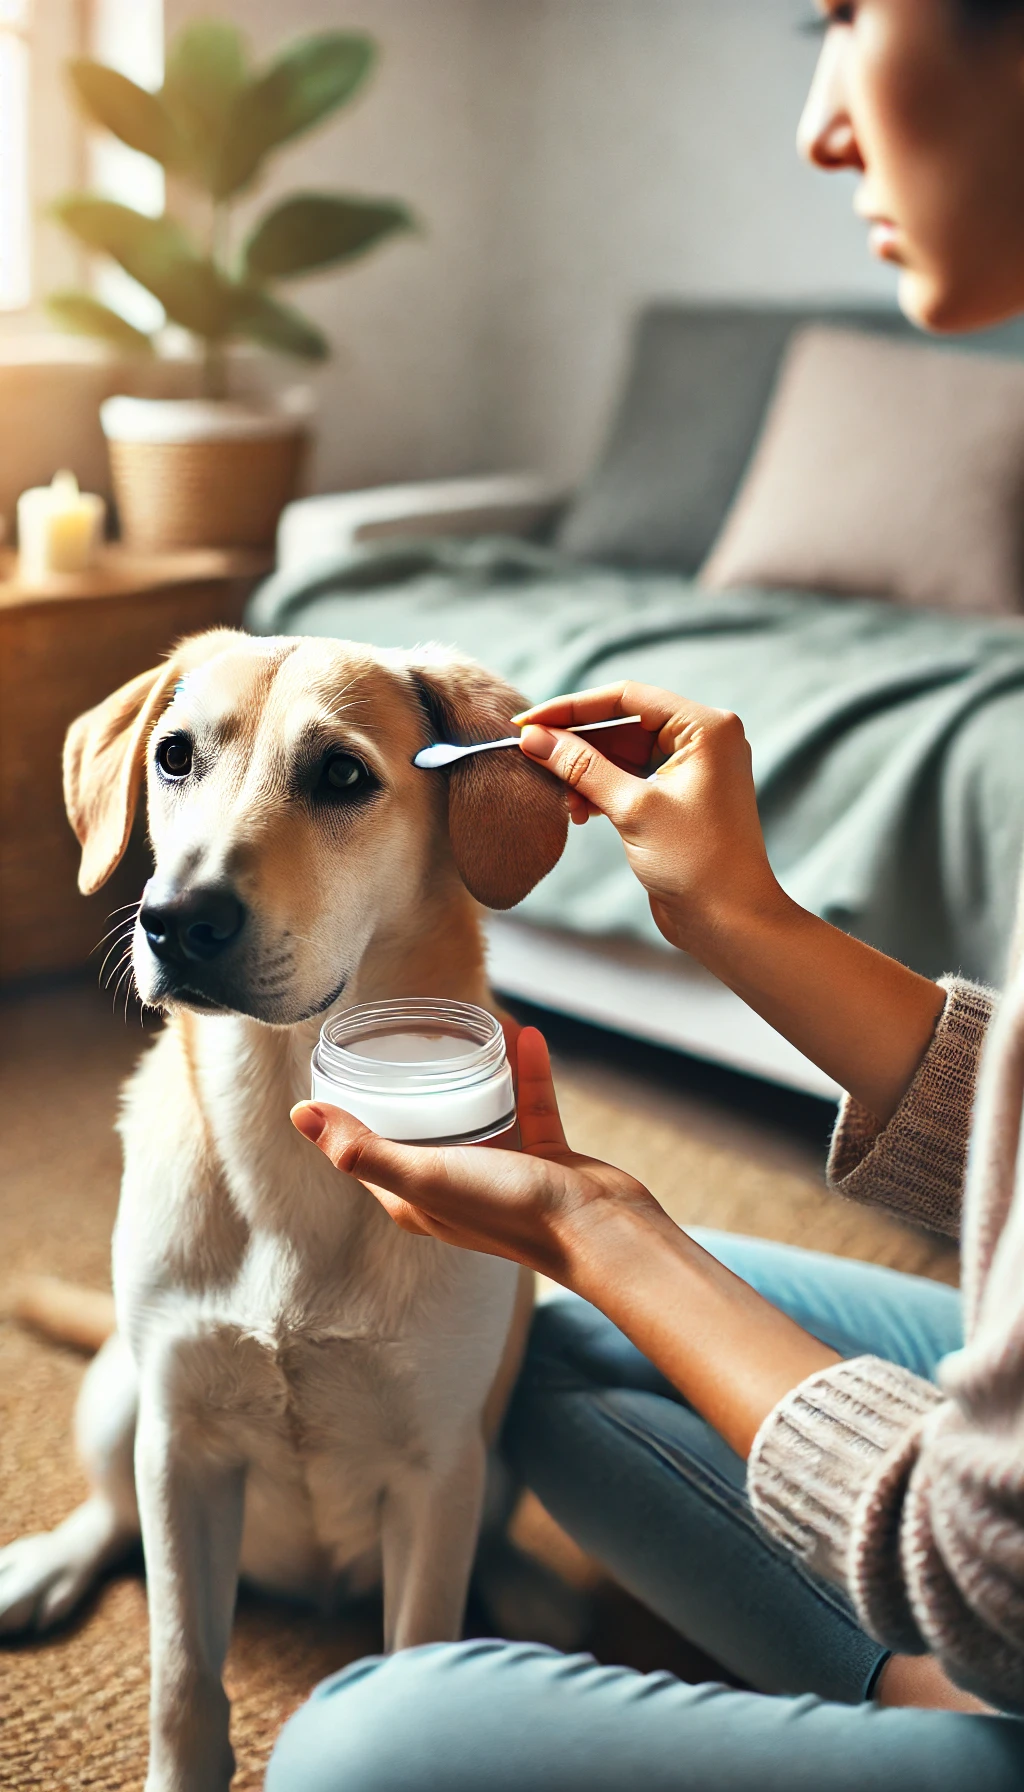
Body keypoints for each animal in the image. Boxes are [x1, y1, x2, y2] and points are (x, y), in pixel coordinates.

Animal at [0, 630, 570, 1792]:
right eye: (173, 756)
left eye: (342, 776)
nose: (176, 921)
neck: (282, 1125)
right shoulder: (180, 1447)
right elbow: (180, 1672)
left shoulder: (437, 1470)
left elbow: (420, 1643)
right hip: (122, 1396)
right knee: (108, 1513)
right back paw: (47, 1564)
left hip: (500, 1442)